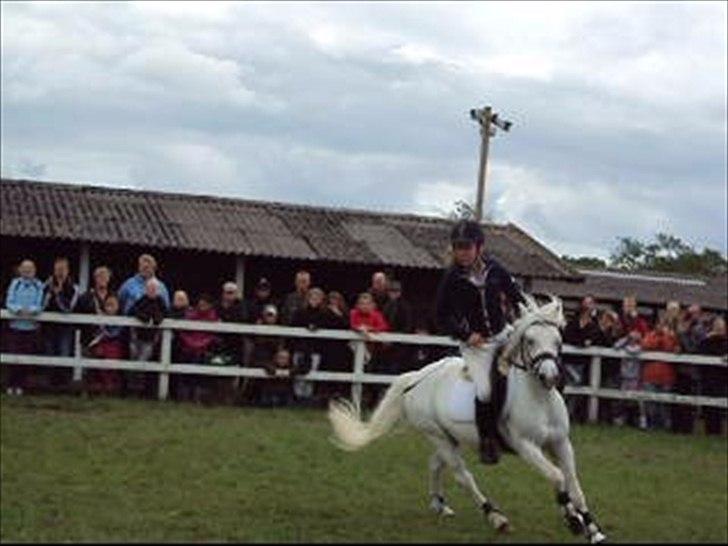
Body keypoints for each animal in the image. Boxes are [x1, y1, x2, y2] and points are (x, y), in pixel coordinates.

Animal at [330, 296, 608, 540]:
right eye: (529, 341)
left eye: (558, 341)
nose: (549, 376)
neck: (539, 398)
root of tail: (418, 377)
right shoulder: (526, 447)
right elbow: (557, 477)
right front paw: (573, 520)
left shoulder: (561, 443)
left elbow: (574, 484)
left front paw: (591, 527)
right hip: (437, 435)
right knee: (463, 476)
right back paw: (496, 517)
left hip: (449, 438)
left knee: (435, 465)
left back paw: (440, 505)